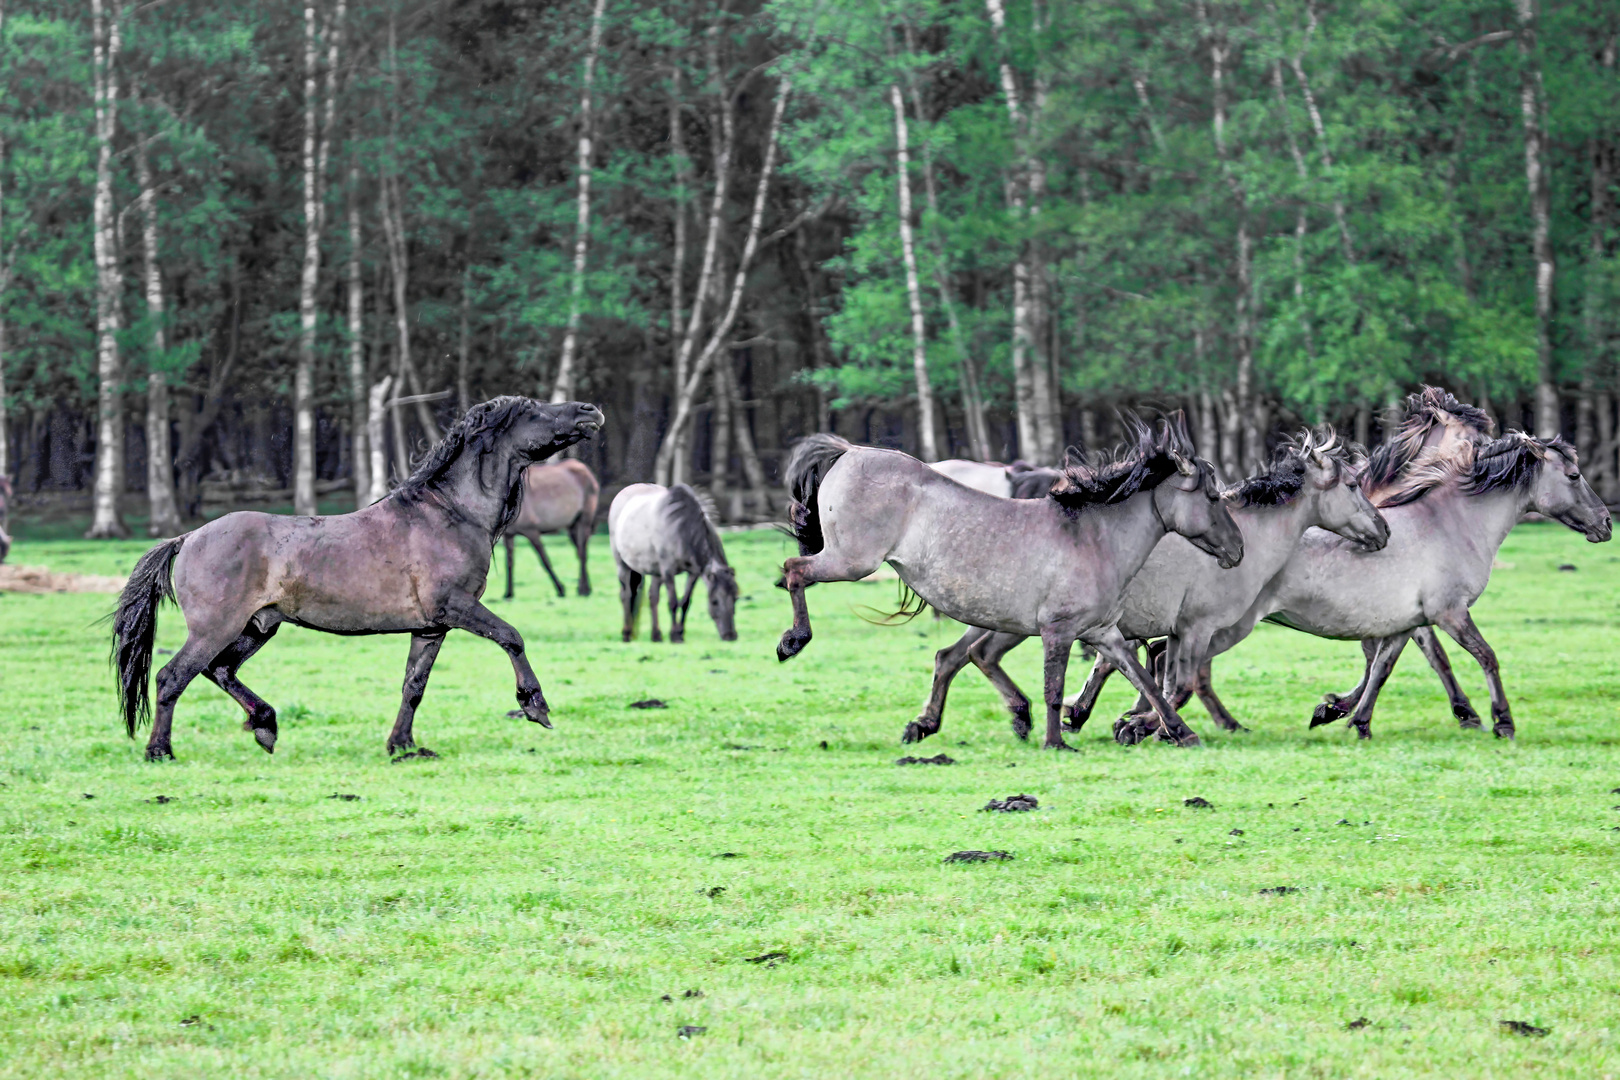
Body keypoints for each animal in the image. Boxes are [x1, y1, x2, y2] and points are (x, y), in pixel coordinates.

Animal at [498, 459, 602, 605]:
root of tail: (587, 472)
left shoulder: (531, 530)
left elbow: (545, 560)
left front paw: (560, 589)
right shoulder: (508, 535)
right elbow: (509, 563)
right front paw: (508, 593)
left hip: (584, 520)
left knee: (582, 554)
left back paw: (583, 590)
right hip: (572, 525)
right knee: (580, 551)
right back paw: (586, 588)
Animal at [609, 485, 741, 647]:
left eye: (735, 598)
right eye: (714, 601)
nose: (730, 635)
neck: (682, 529)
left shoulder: (693, 573)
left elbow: (685, 602)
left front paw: (680, 633)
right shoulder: (668, 572)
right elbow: (672, 602)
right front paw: (674, 636)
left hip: (655, 572)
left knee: (652, 598)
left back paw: (656, 635)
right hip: (623, 565)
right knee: (626, 595)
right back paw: (626, 634)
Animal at [777, 414, 1244, 751]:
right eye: (1212, 497)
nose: (1238, 549)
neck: (1095, 537)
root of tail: (849, 451)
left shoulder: (1104, 633)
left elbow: (1145, 681)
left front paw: (1181, 732)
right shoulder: (1058, 630)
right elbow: (1054, 687)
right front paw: (1056, 743)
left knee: (954, 656)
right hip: (852, 561)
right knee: (794, 569)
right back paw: (792, 641)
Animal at [926, 427, 1393, 744]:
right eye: (1353, 484)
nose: (1384, 530)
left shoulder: (1168, 631)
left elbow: (1155, 680)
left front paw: (1121, 720)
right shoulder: (1196, 627)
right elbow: (1178, 684)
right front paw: (1135, 726)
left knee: (957, 655)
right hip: (1016, 623)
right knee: (975, 654)